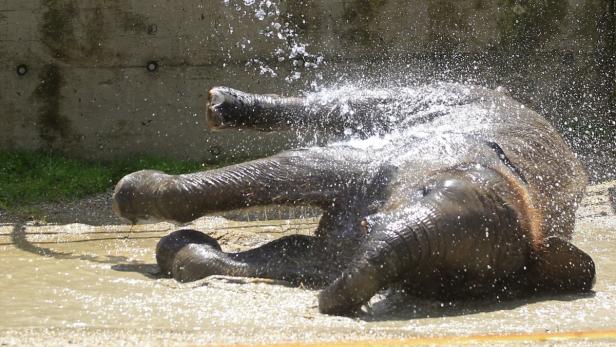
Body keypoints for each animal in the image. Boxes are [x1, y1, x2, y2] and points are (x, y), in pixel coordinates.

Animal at [113, 83, 596, 316]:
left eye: (446, 274)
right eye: (424, 191)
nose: (322, 306)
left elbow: (303, 258)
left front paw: (182, 253)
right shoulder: (398, 159)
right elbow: (300, 169)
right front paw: (130, 195)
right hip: (452, 96)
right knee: (353, 103)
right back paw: (220, 105)